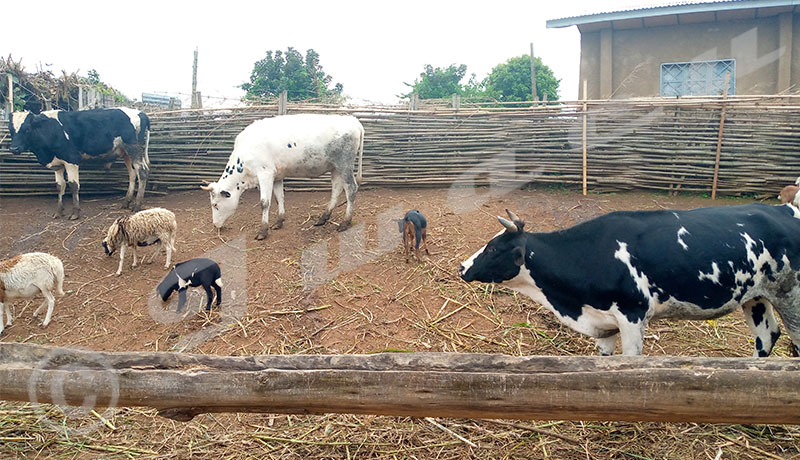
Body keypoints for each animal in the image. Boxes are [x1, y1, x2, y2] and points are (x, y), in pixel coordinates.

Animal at [8, 107, 152, 218]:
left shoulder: (71, 160)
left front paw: (75, 212)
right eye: (11, 130)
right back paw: (126, 202)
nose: (14, 148)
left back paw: (137, 205)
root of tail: (140, 113)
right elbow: (60, 186)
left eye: (27, 129)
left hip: (133, 148)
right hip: (126, 153)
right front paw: (59, 211)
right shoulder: (58, 165)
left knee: (142, 172)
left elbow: (73, 185)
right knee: (133, 174)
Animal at [202, 114, 364, 241]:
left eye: (215, 205)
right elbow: (279, 197)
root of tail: (353, 120)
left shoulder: (265, 174)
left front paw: (263, 231)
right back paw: (323, 218)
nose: (215, 225)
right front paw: (279, 222)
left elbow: (264, 202)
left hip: (344, 165)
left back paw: (345, 222)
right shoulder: (277, 176)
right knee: (336, 189)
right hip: (335, 168)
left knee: (351, 189)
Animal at [460, 207, 800, 358]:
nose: (462, 266)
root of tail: (782, 209)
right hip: (755, 297)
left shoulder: (632, 316)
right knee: (767, 336)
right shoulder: (604, 323)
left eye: (493, 249)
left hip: (791, 297)